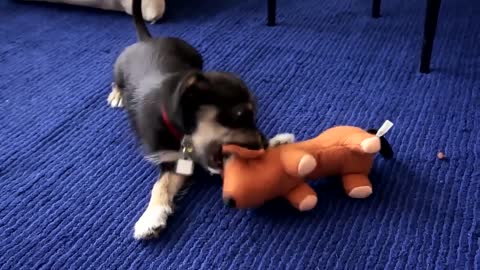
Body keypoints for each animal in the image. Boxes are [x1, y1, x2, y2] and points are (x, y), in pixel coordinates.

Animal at [109, 0, 272, 239]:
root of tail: (147, 40)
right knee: (116, 81)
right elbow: (160, 185)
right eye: (241, 115)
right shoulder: (171, 158)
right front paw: (150, 217)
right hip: (118, 68)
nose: (265, 144)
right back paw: (117, 95)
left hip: (195, 54)